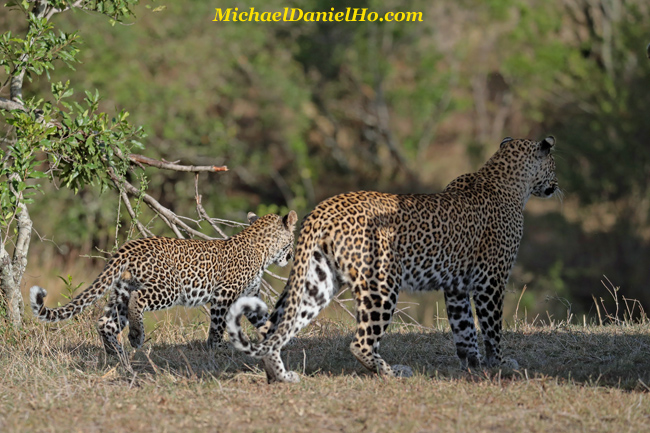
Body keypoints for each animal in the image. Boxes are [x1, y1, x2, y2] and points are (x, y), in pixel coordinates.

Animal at [28, 209, 296, 354]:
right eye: (293, 241)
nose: (292, 256)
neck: (263, 250)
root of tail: (130, 246)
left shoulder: (249, 295)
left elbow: (265, 320)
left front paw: (277, 340)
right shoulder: (224, 294)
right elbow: (218, 324)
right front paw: (215, 347)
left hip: (121, 289)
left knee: (106, 321)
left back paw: (117, 354)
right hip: (169, 287)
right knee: (137, 300)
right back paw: (136, 337)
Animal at [225, 135, 556, 382]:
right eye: (554, 164)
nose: (557, 185)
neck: (506, 178)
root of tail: (322, 209)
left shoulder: (457, 286)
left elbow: (464, 328)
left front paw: (472, 363)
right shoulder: (491, 279)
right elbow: (491, 326)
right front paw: (498, 363)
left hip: (317, 281)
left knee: (275, 328)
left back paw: (280, 376)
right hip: (381, 283)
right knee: (359, 342)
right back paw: (393, 372)